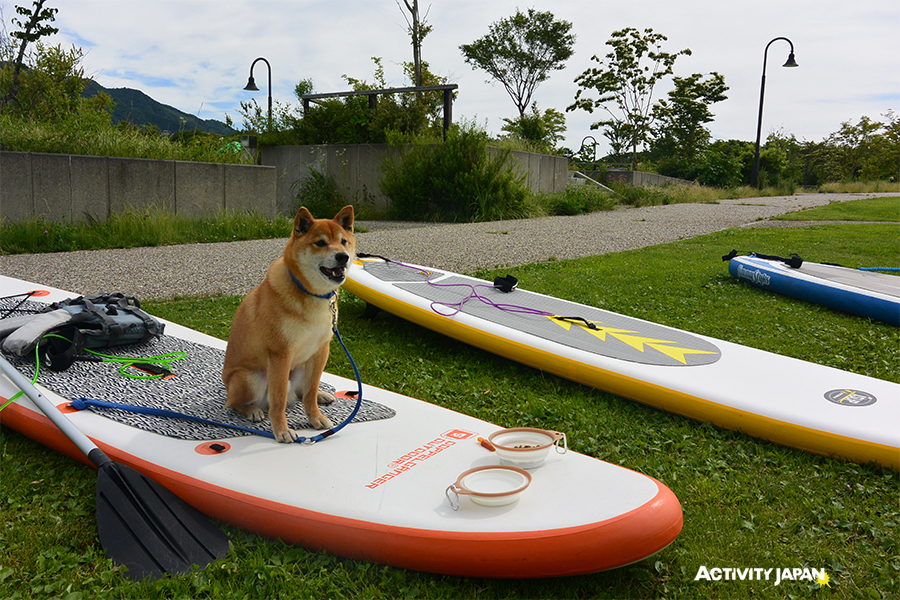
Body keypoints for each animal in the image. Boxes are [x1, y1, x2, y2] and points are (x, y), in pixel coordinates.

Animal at [221, 204, 356, 442]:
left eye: (343, 241)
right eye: (320, 243)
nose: (343, 256)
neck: (313, 296)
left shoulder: (320, 351)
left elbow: (310, 392)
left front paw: (315, 417)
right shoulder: (280, 354)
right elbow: (279, 400)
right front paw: (282, 430)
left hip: (301, 367)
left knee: (304, 391)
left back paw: (321, 395)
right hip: (250, 378)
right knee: (235, 403)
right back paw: (252, 410)